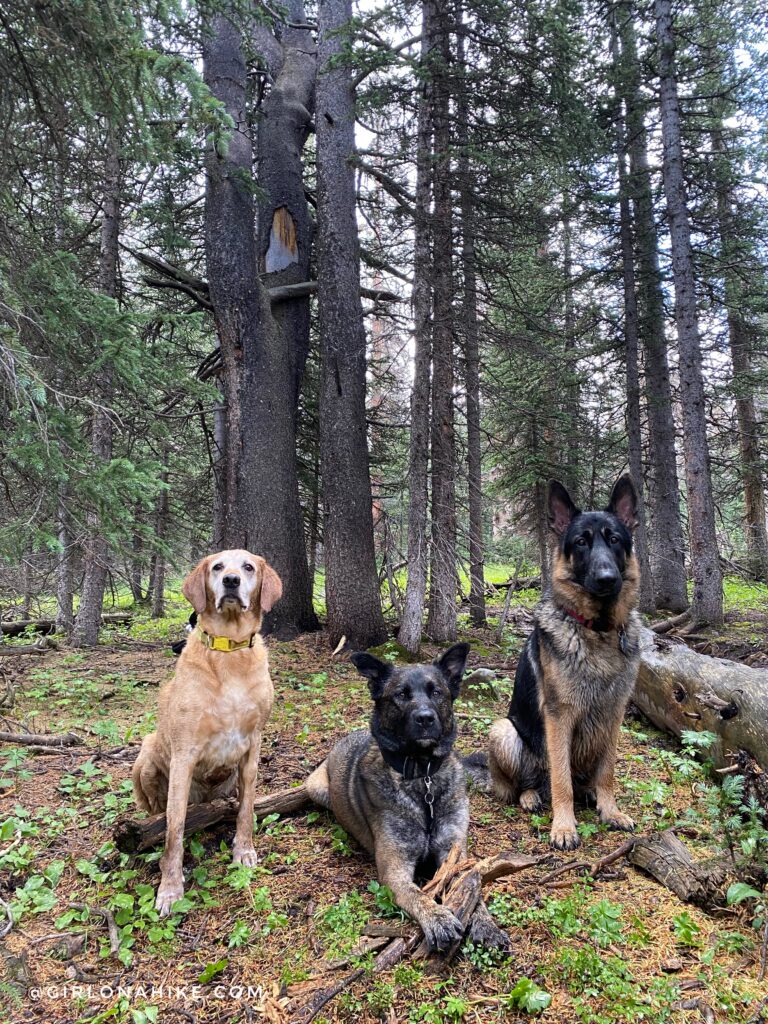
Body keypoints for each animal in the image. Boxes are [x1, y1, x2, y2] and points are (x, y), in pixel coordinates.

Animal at [132, 548, 282, 917]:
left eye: (248, 567)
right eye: (217, 567)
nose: (231, 581)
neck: (229, 651)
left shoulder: (253, 745)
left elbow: (246, 809)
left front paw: (244, 850)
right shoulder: (184, 754)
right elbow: (174, 831)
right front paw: (170, 889)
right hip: (144, 758)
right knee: (159, 813)